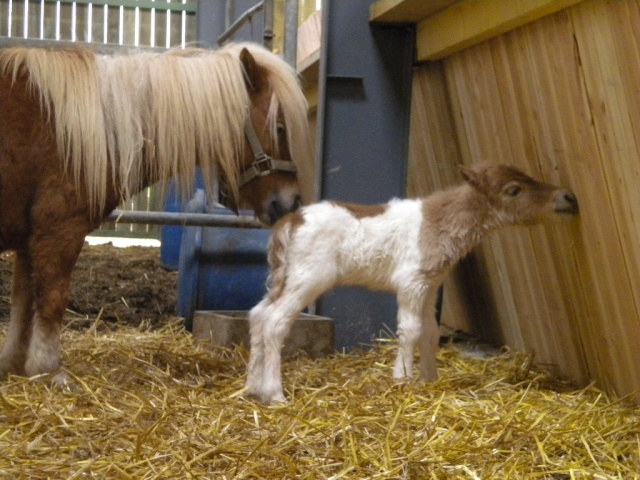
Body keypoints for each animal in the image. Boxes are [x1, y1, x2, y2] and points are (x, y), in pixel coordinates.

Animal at [0, 43, 312, 384]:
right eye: (279, 127)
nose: (292, 200)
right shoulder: (58, 232)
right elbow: (50, 300)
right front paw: (49, 370)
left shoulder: (29, 239)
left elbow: (23, 304)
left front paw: (14, 365)